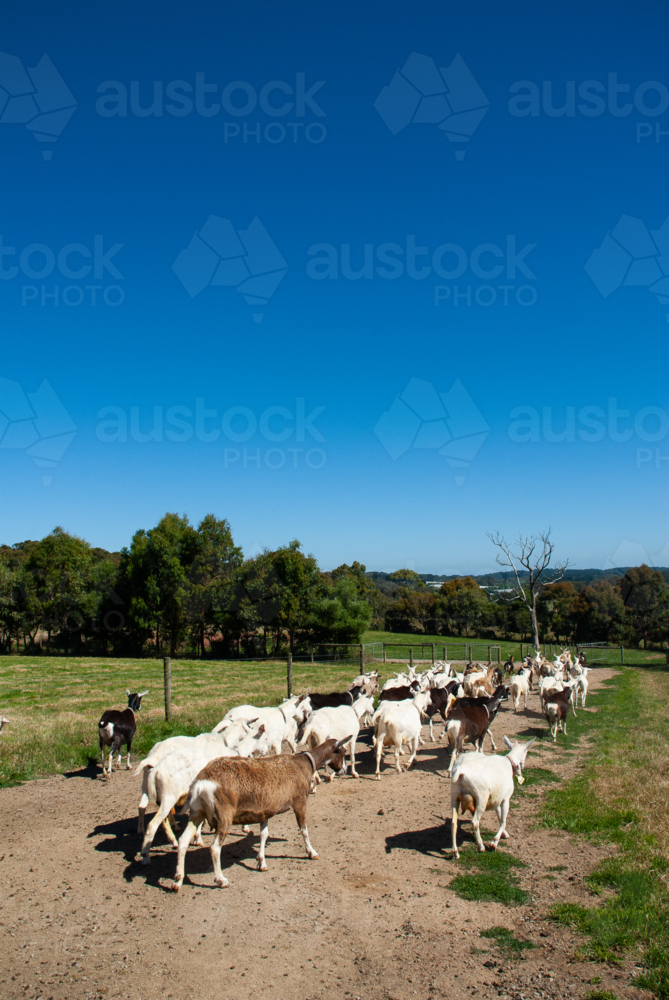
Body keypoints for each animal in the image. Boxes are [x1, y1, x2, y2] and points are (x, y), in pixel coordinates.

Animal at [171, 737, 350, 891]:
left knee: (183, 841)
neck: (304, 764)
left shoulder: (264, 812)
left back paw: (177, 881)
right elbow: (303, 829)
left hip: (197, 813)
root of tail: (200, 782)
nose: (344, 770)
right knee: (214, 848)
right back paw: (221, 880)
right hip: (224, 816)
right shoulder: (299, 801)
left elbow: (264, 834)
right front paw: (312, 853)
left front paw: (261, 862)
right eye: (342, 752)